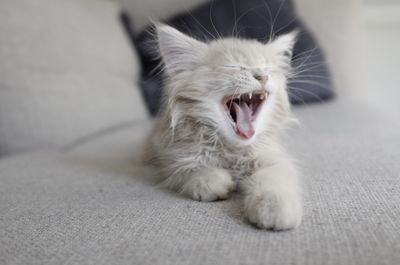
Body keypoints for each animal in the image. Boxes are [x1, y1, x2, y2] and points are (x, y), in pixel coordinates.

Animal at [144, 24, 304, 230]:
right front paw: (214, 181)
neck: (231, 150)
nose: (262, 76)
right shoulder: (170, 159)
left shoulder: (272, 158)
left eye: (267, 68)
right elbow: (190, 170)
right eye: (233, 67)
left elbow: (273, 179)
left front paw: (274, 207)